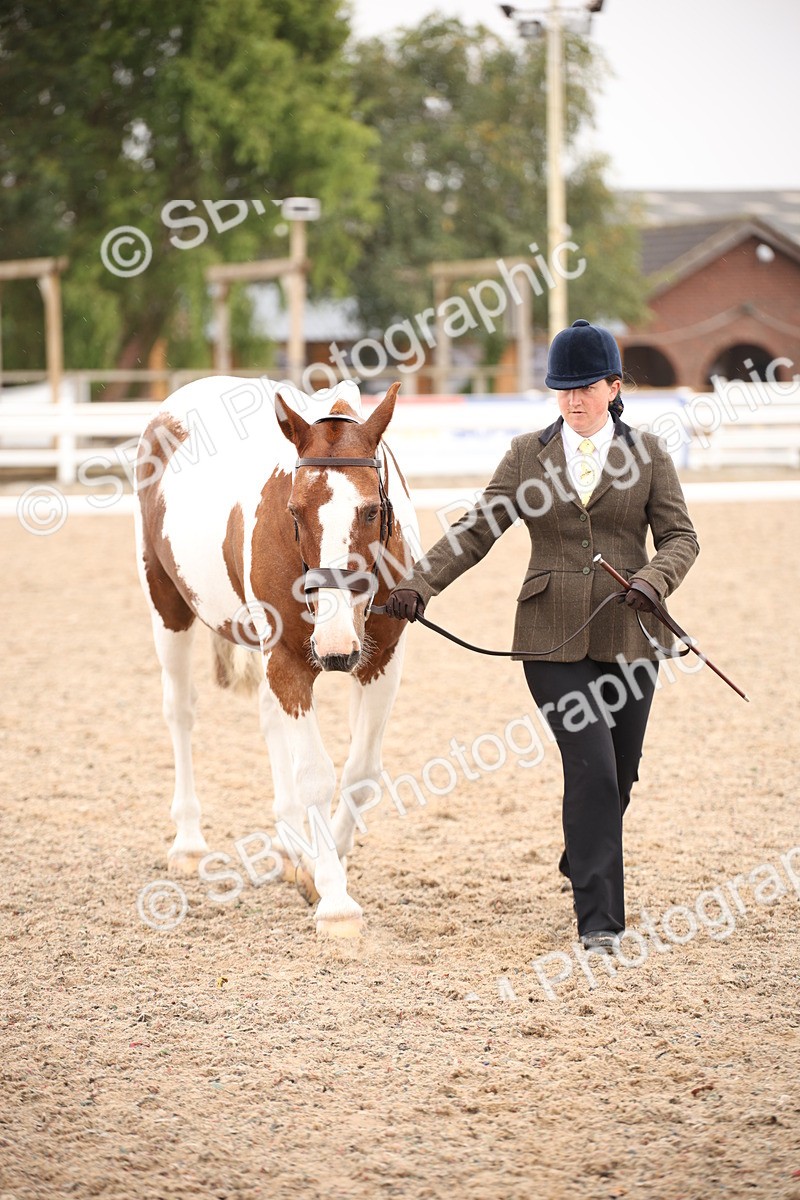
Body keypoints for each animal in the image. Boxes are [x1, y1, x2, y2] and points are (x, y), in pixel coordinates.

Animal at [133, 377, 419, 937]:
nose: (334, 649)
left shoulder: (382, 661)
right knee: (180, 712)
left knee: (270, 719)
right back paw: (189, 842)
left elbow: (361, 772)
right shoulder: (289, 660)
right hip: (167, 604)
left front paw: (326, 860)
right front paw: (334, 899)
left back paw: (291, 847)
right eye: (294, 512)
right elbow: (316, 775)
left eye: (371, 511)